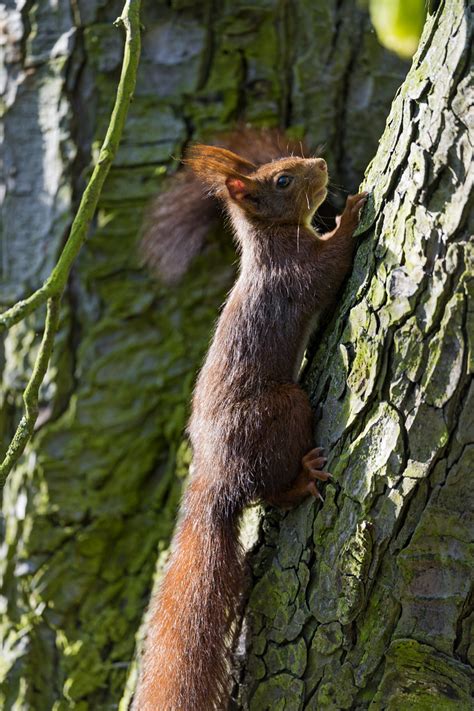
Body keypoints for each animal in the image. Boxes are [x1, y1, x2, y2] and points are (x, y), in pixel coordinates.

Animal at [133, 129, 366, 711]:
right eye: (282, 179)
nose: (321, 163)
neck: (273, 244)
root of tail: (215, 477)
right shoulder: (298, 276)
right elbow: (330, 265)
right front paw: (351, 213)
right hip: (283, 409)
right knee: (270, 491)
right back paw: (302, 479)